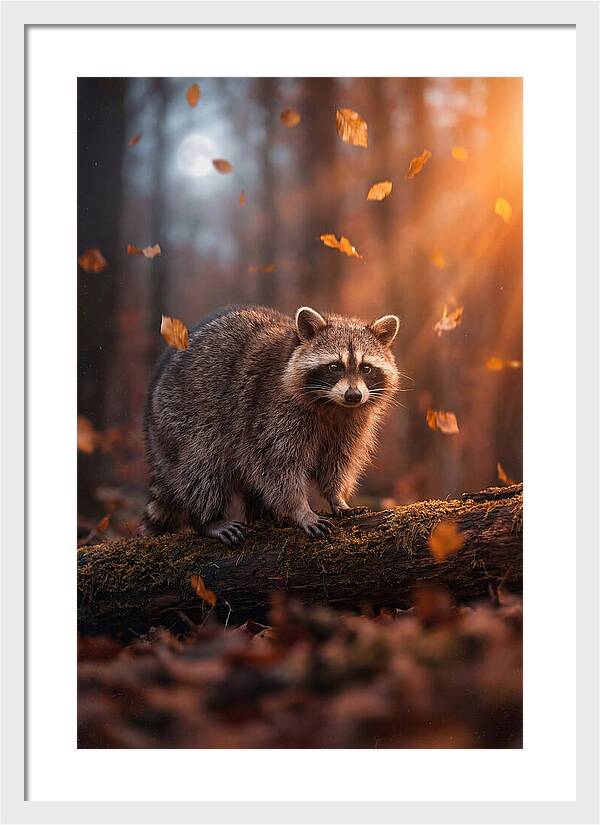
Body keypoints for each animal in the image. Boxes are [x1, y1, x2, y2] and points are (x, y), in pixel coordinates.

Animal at [141, 305, 400, 545]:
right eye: (334, 366)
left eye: (366, 368)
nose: (353, 395)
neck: (333, 405)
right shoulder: (270, 411)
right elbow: (277, 466)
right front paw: (300, 509)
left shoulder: (350, 424)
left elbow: (338, 461)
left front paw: (336, 496)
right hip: (183, 419)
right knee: (203, 467)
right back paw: (208, 519)